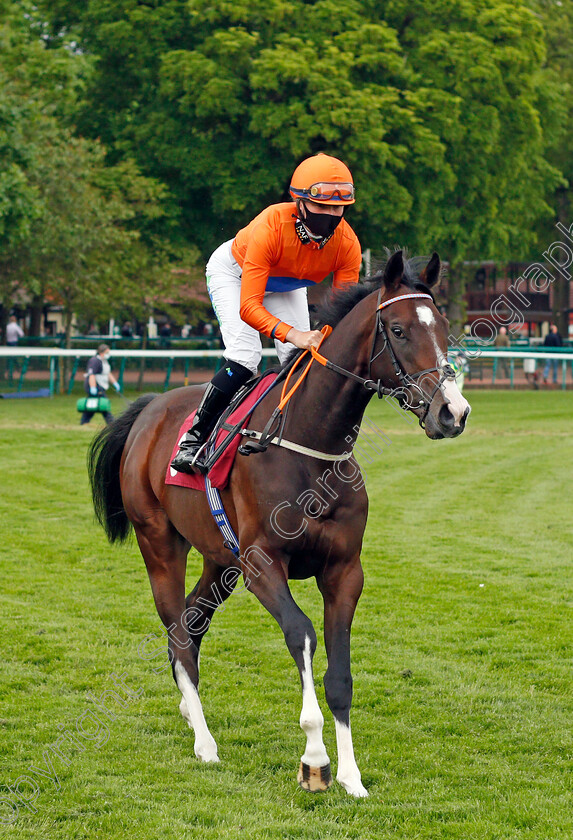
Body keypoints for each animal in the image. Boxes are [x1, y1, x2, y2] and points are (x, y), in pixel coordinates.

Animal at [86, 248, 470, 796]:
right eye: (398, 330)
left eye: (443, 326)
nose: (452, 412)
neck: (312, 446)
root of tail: (148, 410)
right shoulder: (263, 563)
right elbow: (302, 634)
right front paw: (314, 760)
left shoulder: (343, 571)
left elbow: (340, 674)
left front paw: (351, 776)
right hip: (159, 543)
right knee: (177, 630)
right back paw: (205, 742)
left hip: (219, 560)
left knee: (191, 624)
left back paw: (188, 711)